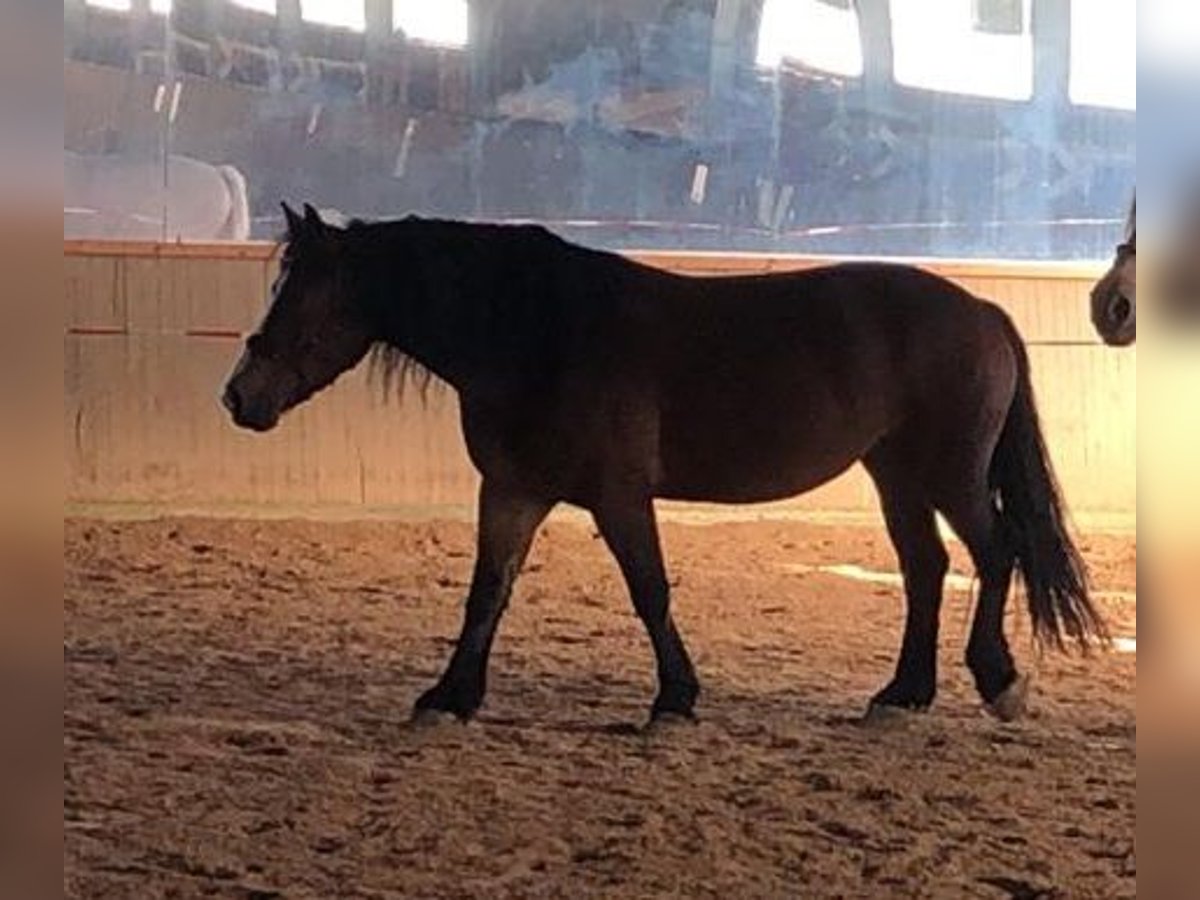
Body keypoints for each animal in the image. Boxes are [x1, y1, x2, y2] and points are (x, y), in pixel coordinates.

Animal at [223, 204, 1104, 724]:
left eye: (302, 293)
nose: (239, 397)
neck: (539, 331)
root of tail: (982, 310)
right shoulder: (513, 490)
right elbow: (487, 593)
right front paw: (451, 696)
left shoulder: (619, 496)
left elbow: (649, 592)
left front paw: (675, 698)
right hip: (895, 475)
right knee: (926, 569)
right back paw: (902, 695)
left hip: (950, 475)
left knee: (996, 553)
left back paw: (998, 682)